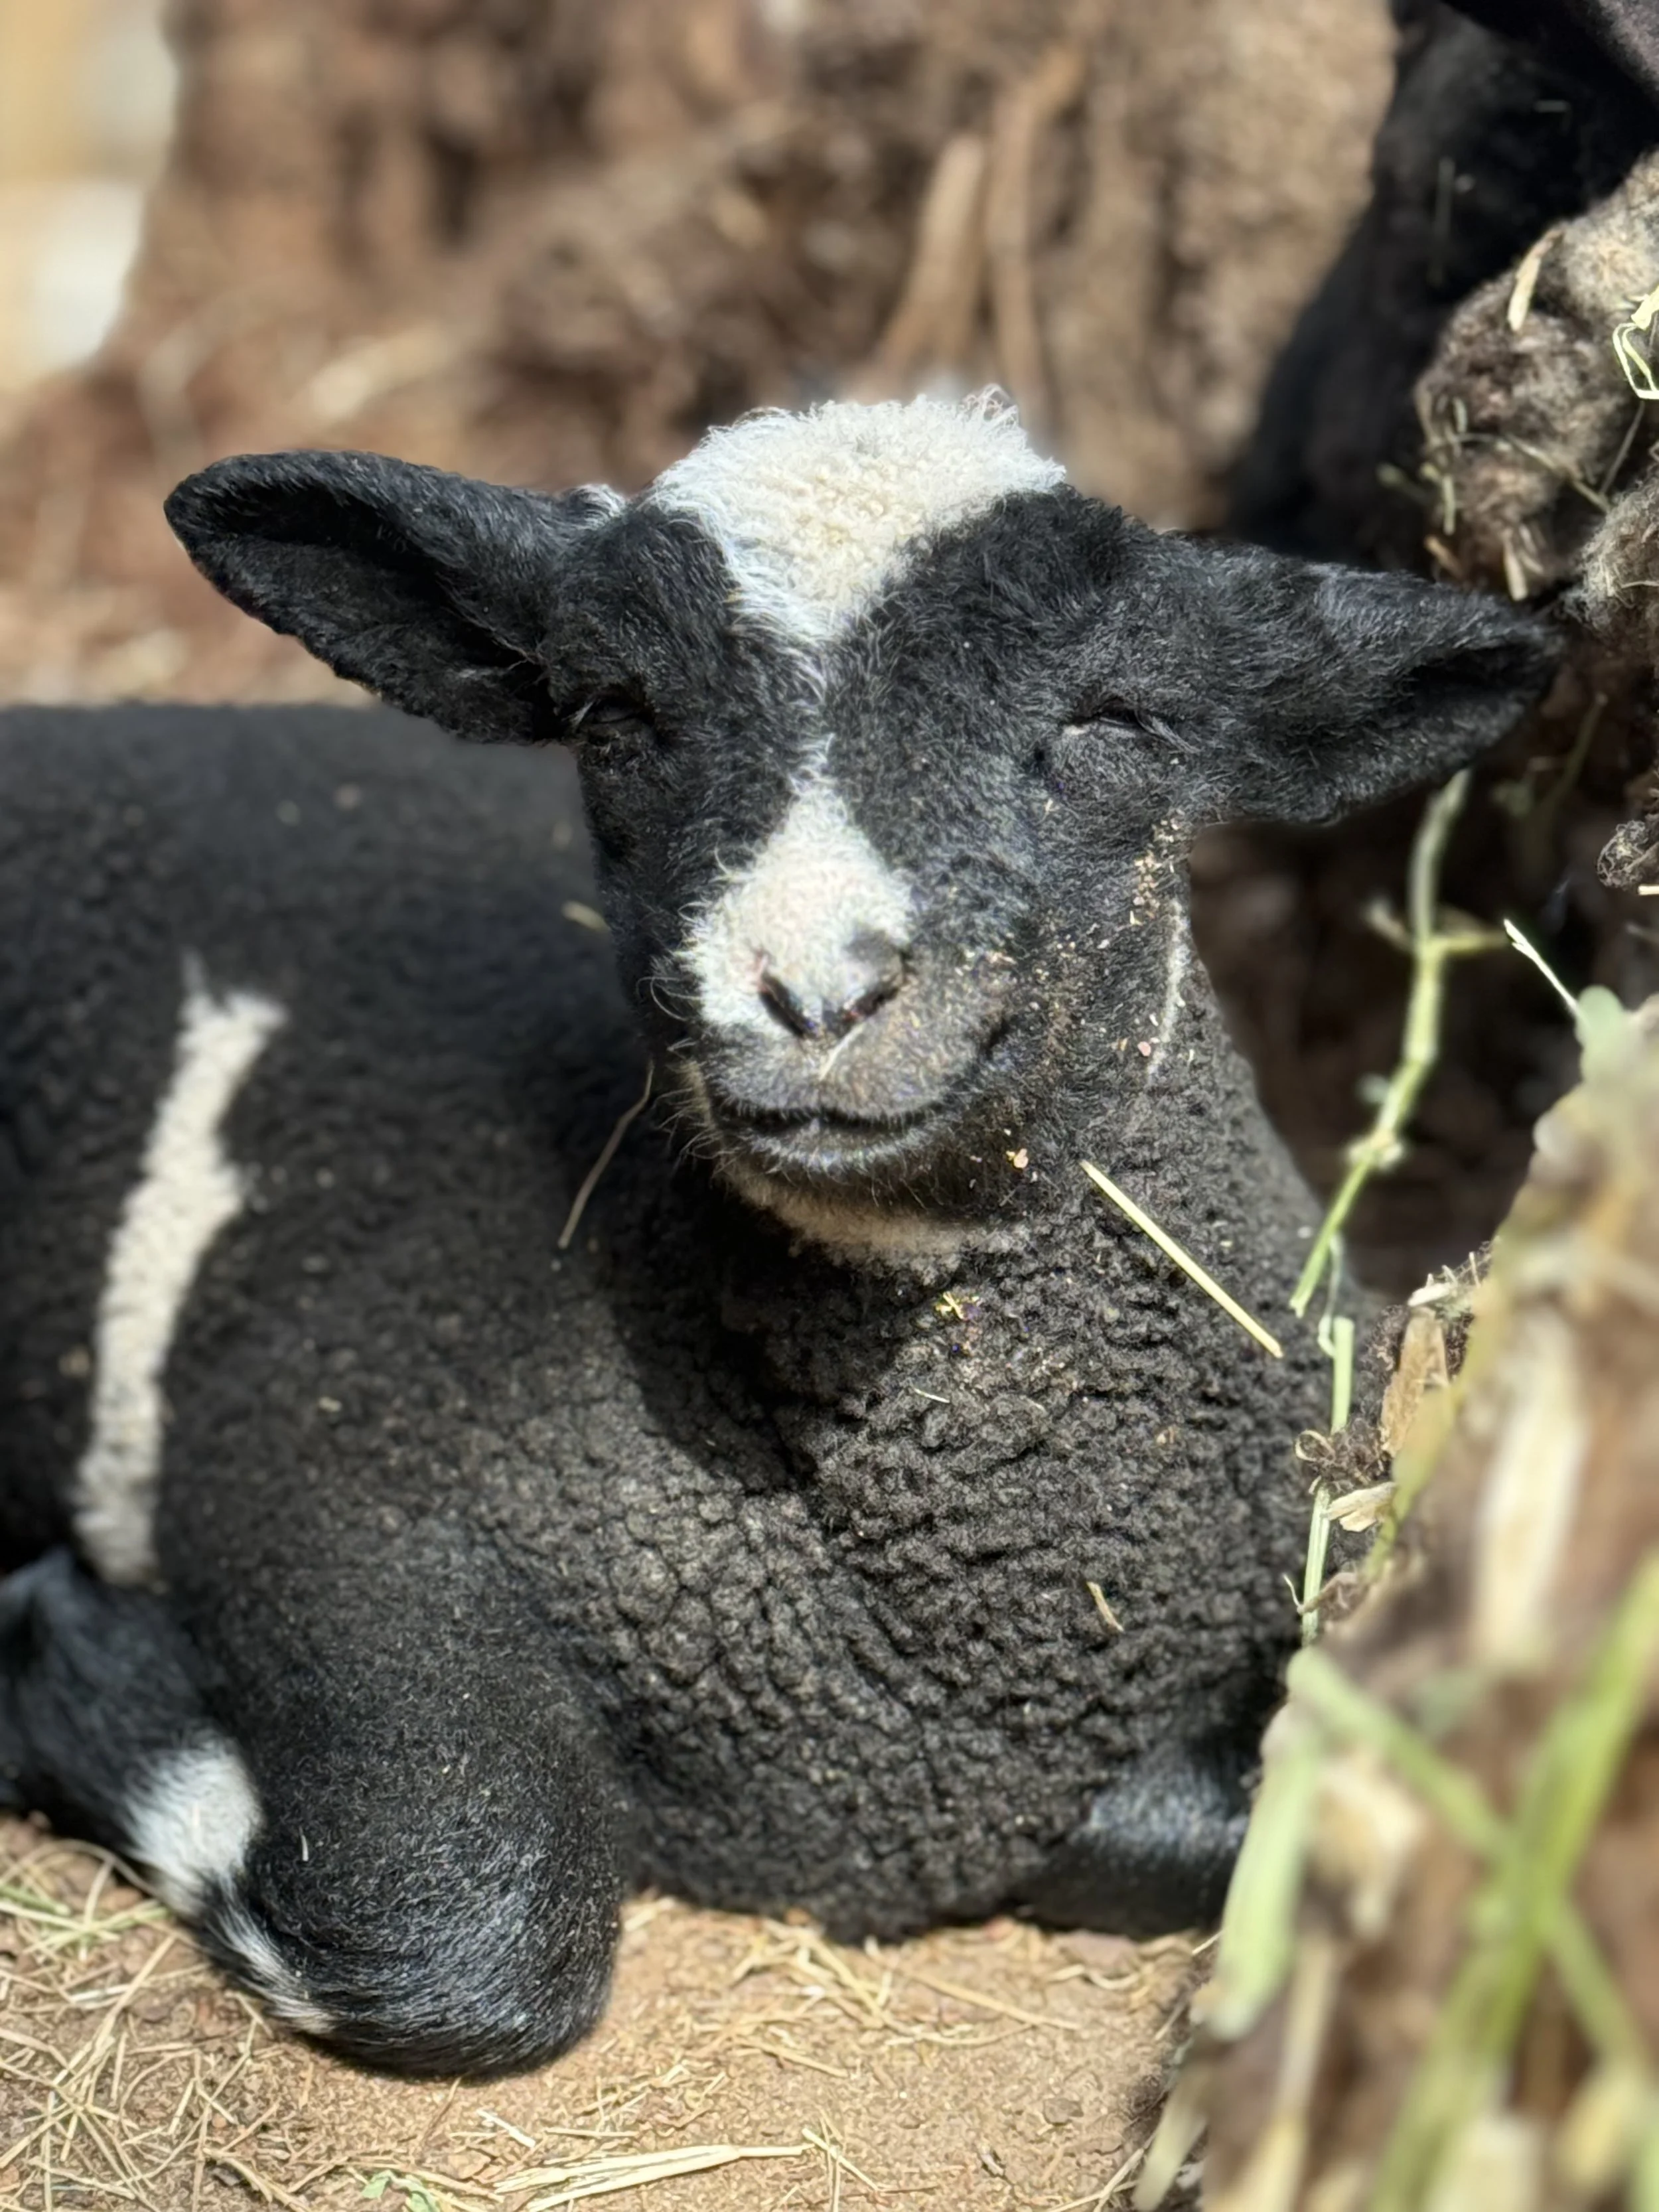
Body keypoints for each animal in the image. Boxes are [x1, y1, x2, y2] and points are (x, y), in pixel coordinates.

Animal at [0, 394, 1554, 2077]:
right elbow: (469, 1921)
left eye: (1112, 722)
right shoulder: (321, 1477)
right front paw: (73, 1659)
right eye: (614, 717)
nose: (813, 996)